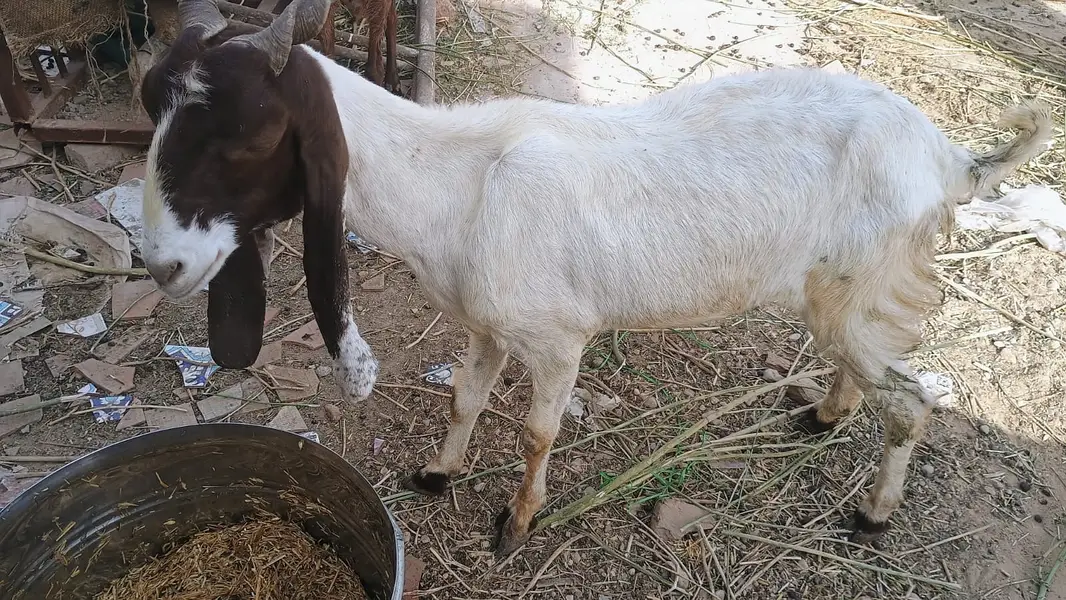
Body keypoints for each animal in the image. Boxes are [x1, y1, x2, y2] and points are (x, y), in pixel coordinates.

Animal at [141, 0, 1053, 558]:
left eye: (244, 140)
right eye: (154, 114)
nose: (162, 267)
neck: (460, 179)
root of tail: (950, 156)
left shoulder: (557, 339)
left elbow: (538, 432)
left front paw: (516, 522)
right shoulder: (486, 323)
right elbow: (464, 398)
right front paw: (437, 474)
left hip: (864, 289)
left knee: (912, 400)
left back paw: (871, 514)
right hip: (840, 293)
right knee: (864, 369)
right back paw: (824, 414)